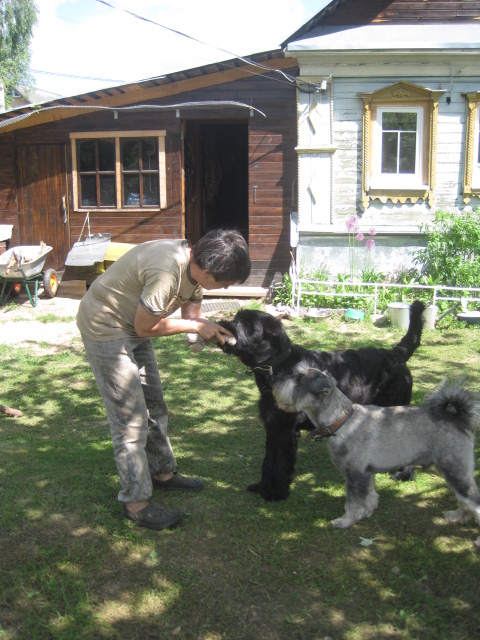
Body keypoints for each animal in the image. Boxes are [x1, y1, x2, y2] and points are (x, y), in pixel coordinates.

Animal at [218, 301, 425, 501]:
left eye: (246, 325)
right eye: (236, 318)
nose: (222, 324)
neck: (278, 365)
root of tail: (397, 354)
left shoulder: (286, 430)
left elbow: (281, 463)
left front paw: (276, 493)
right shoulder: (273, 427)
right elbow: (268, 461)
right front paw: (262, 487)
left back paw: (405, 474)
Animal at [271, 365, 480, 548]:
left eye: (299, 378)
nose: (273, 381)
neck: (341, 420)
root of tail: (458, 419)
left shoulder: (355, 475)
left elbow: (353, 502)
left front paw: (346, 521)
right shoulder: (366, 473)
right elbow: (370, 495)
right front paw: (368, 511)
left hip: (456, 471)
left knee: (473, 501)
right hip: (452, 472)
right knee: (465, 501)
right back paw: (456, 516)